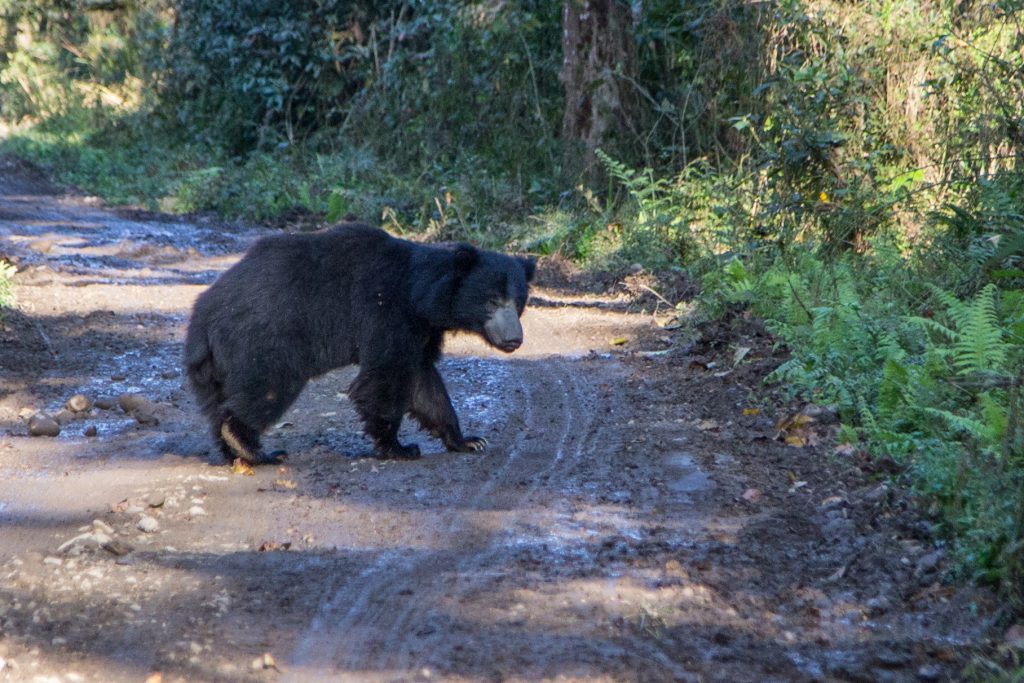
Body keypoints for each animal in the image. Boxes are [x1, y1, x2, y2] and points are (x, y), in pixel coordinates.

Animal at [184, 224, 536, 464]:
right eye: (492, 301)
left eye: (518, 302)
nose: (514, 339)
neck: (421, 297)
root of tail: (202, 317)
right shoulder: (387, 312)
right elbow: (385, 375)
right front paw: (399, 447)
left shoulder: (421, 330)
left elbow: (424, 383)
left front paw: (468, 441)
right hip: (264, 339)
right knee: (267, 388)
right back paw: (251, 447)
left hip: (214, 367)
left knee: (218, 403)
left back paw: (233, 449)